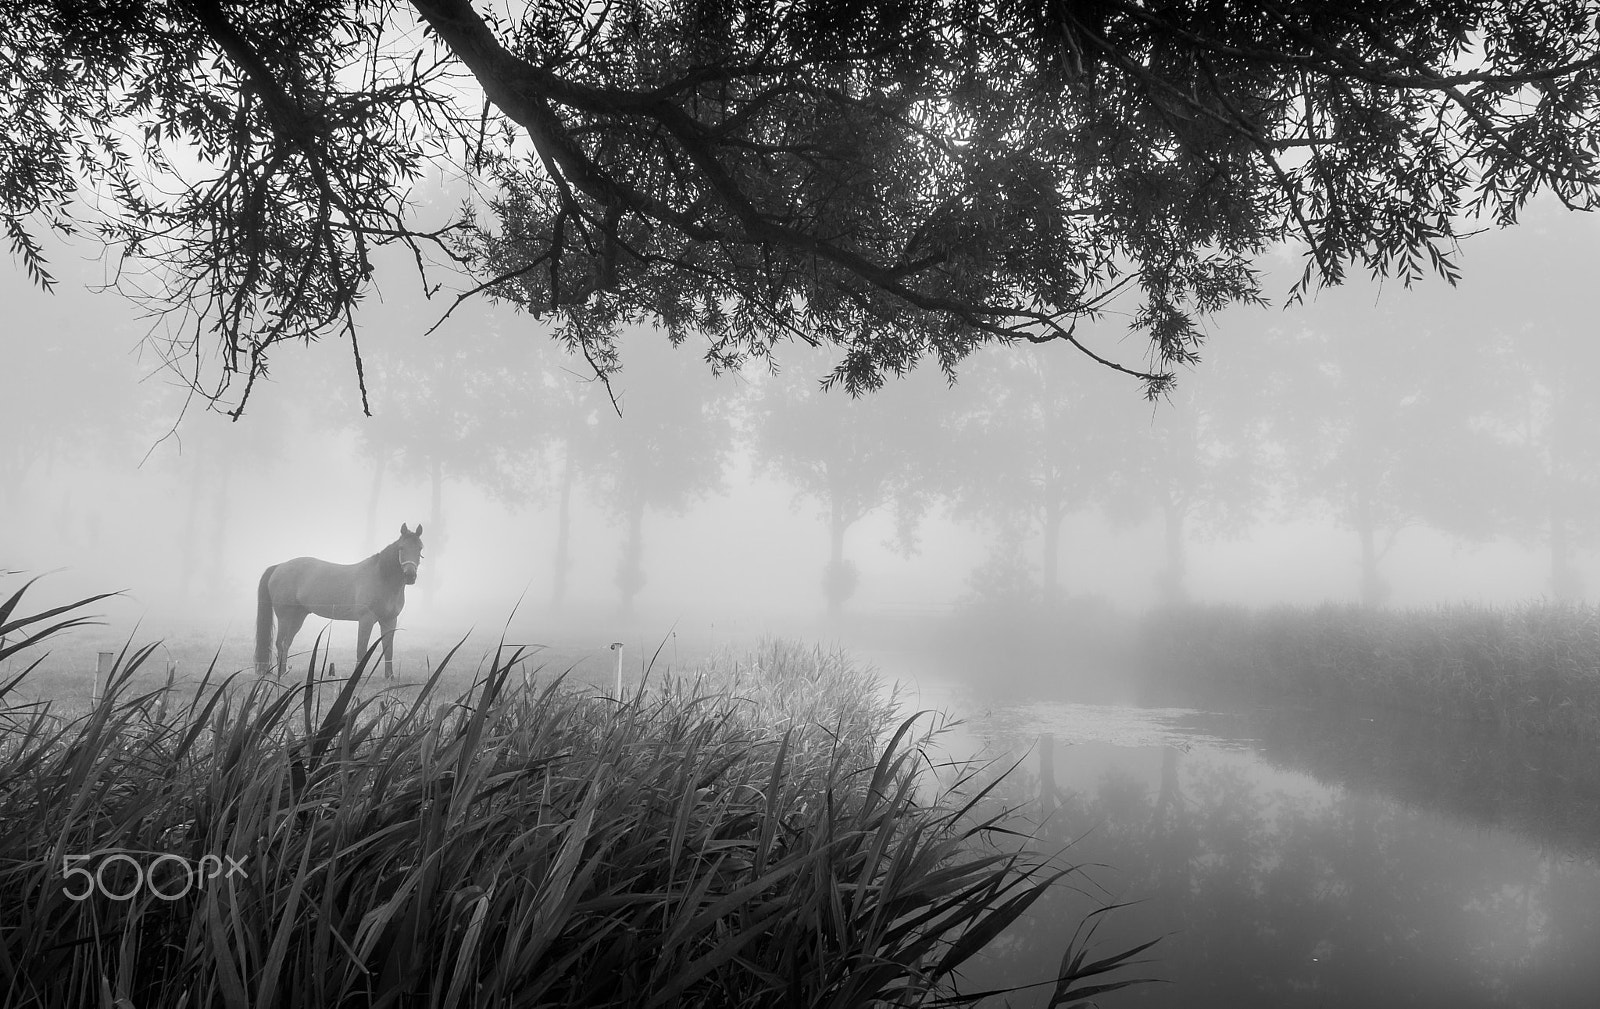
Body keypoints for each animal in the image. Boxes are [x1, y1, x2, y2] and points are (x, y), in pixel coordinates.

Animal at [255, 524, 424, 680]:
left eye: (420, 549)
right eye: (401, 548)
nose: (410, 576)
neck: (382, 578)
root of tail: (279, 567)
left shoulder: (390, 620)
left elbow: (388, 650)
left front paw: (390, 677)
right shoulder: (366, 619)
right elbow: (361, 648)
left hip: (298, 617)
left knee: (286, 643)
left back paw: (283, 673)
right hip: (285, 617)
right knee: (280, 643)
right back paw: (280, 675)